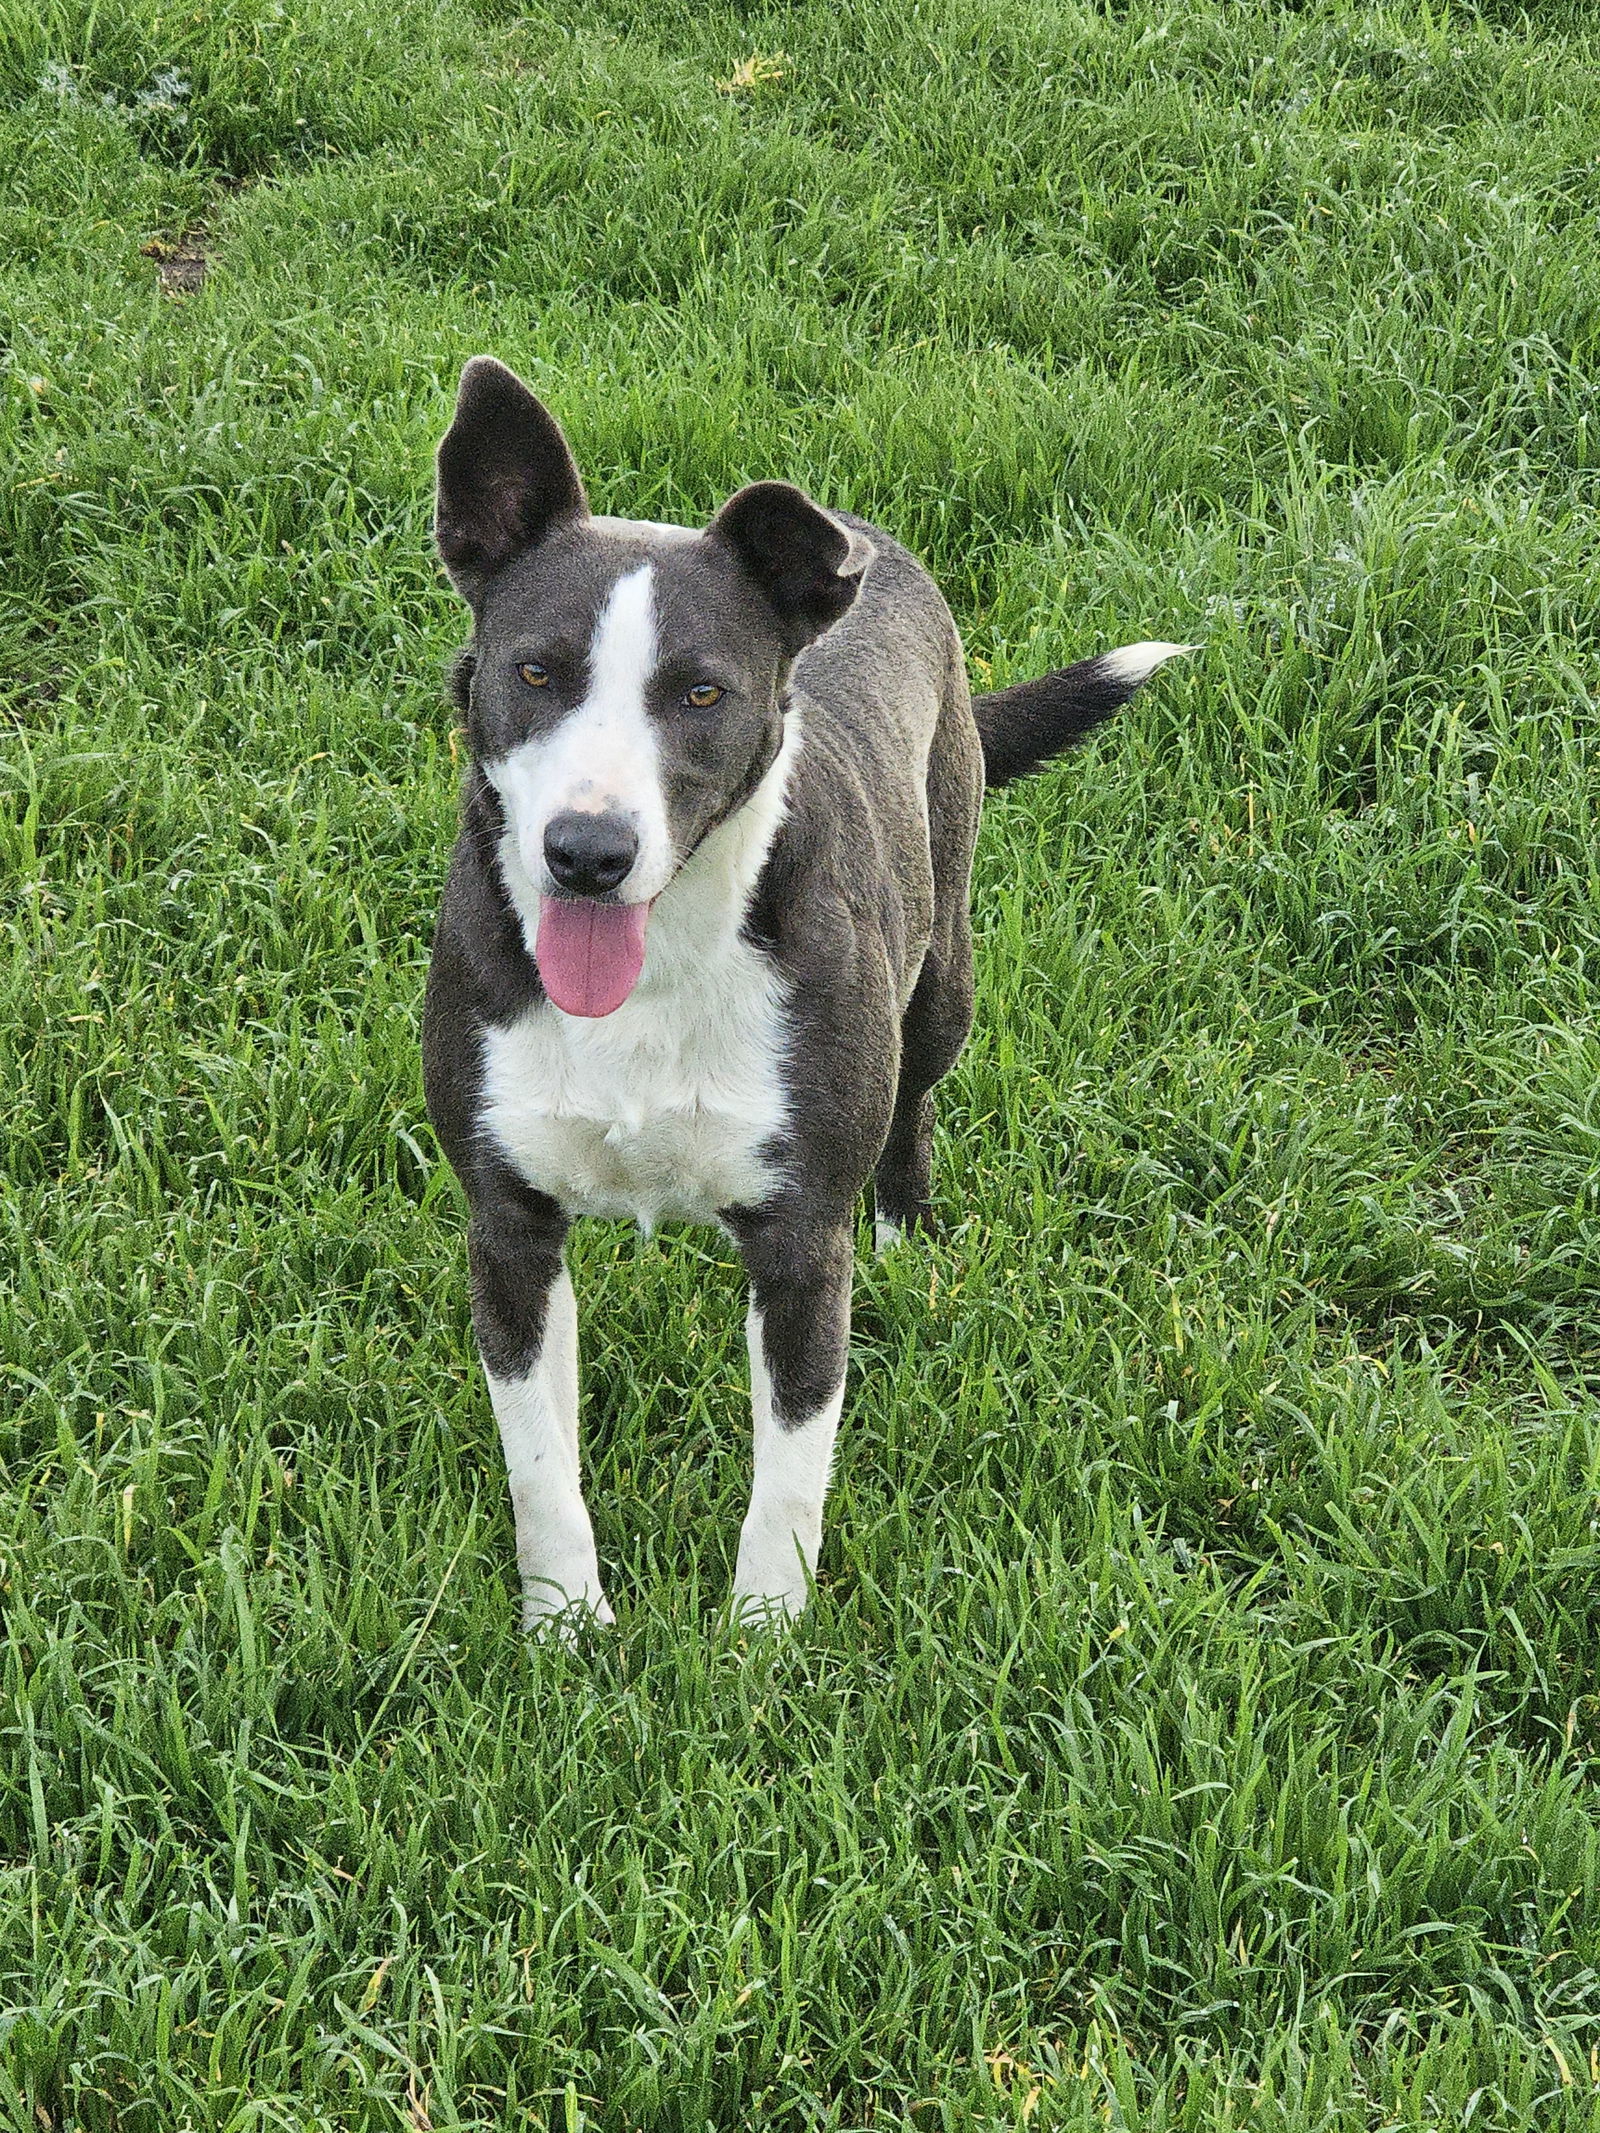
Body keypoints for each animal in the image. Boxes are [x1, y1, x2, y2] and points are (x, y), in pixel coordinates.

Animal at [420, 362, 1194, 1629]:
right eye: (533, 672)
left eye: (699, 694)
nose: (586, 854)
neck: (663, 961)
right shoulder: (509, 1226)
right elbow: (540, 1464)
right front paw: (568, 1627)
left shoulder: (799, 1248)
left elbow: (789, 1470)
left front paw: (762, 1641)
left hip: (941, 972)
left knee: (915, 1105)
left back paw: (908, 1238)